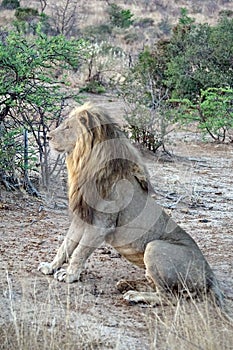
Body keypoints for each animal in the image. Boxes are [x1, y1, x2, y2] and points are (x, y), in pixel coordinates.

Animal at [38, 102, 224, 308]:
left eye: (68, 127)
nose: (47, 136)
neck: (85, 163)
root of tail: (210, 276)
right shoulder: (82, 218)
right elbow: (66, 245)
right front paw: (51, 266)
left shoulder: (101, 225)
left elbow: (80, 251)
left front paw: (69, 275)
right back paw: (126, 284)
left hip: (154, 247)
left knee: (168, 297)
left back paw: (133, 294)